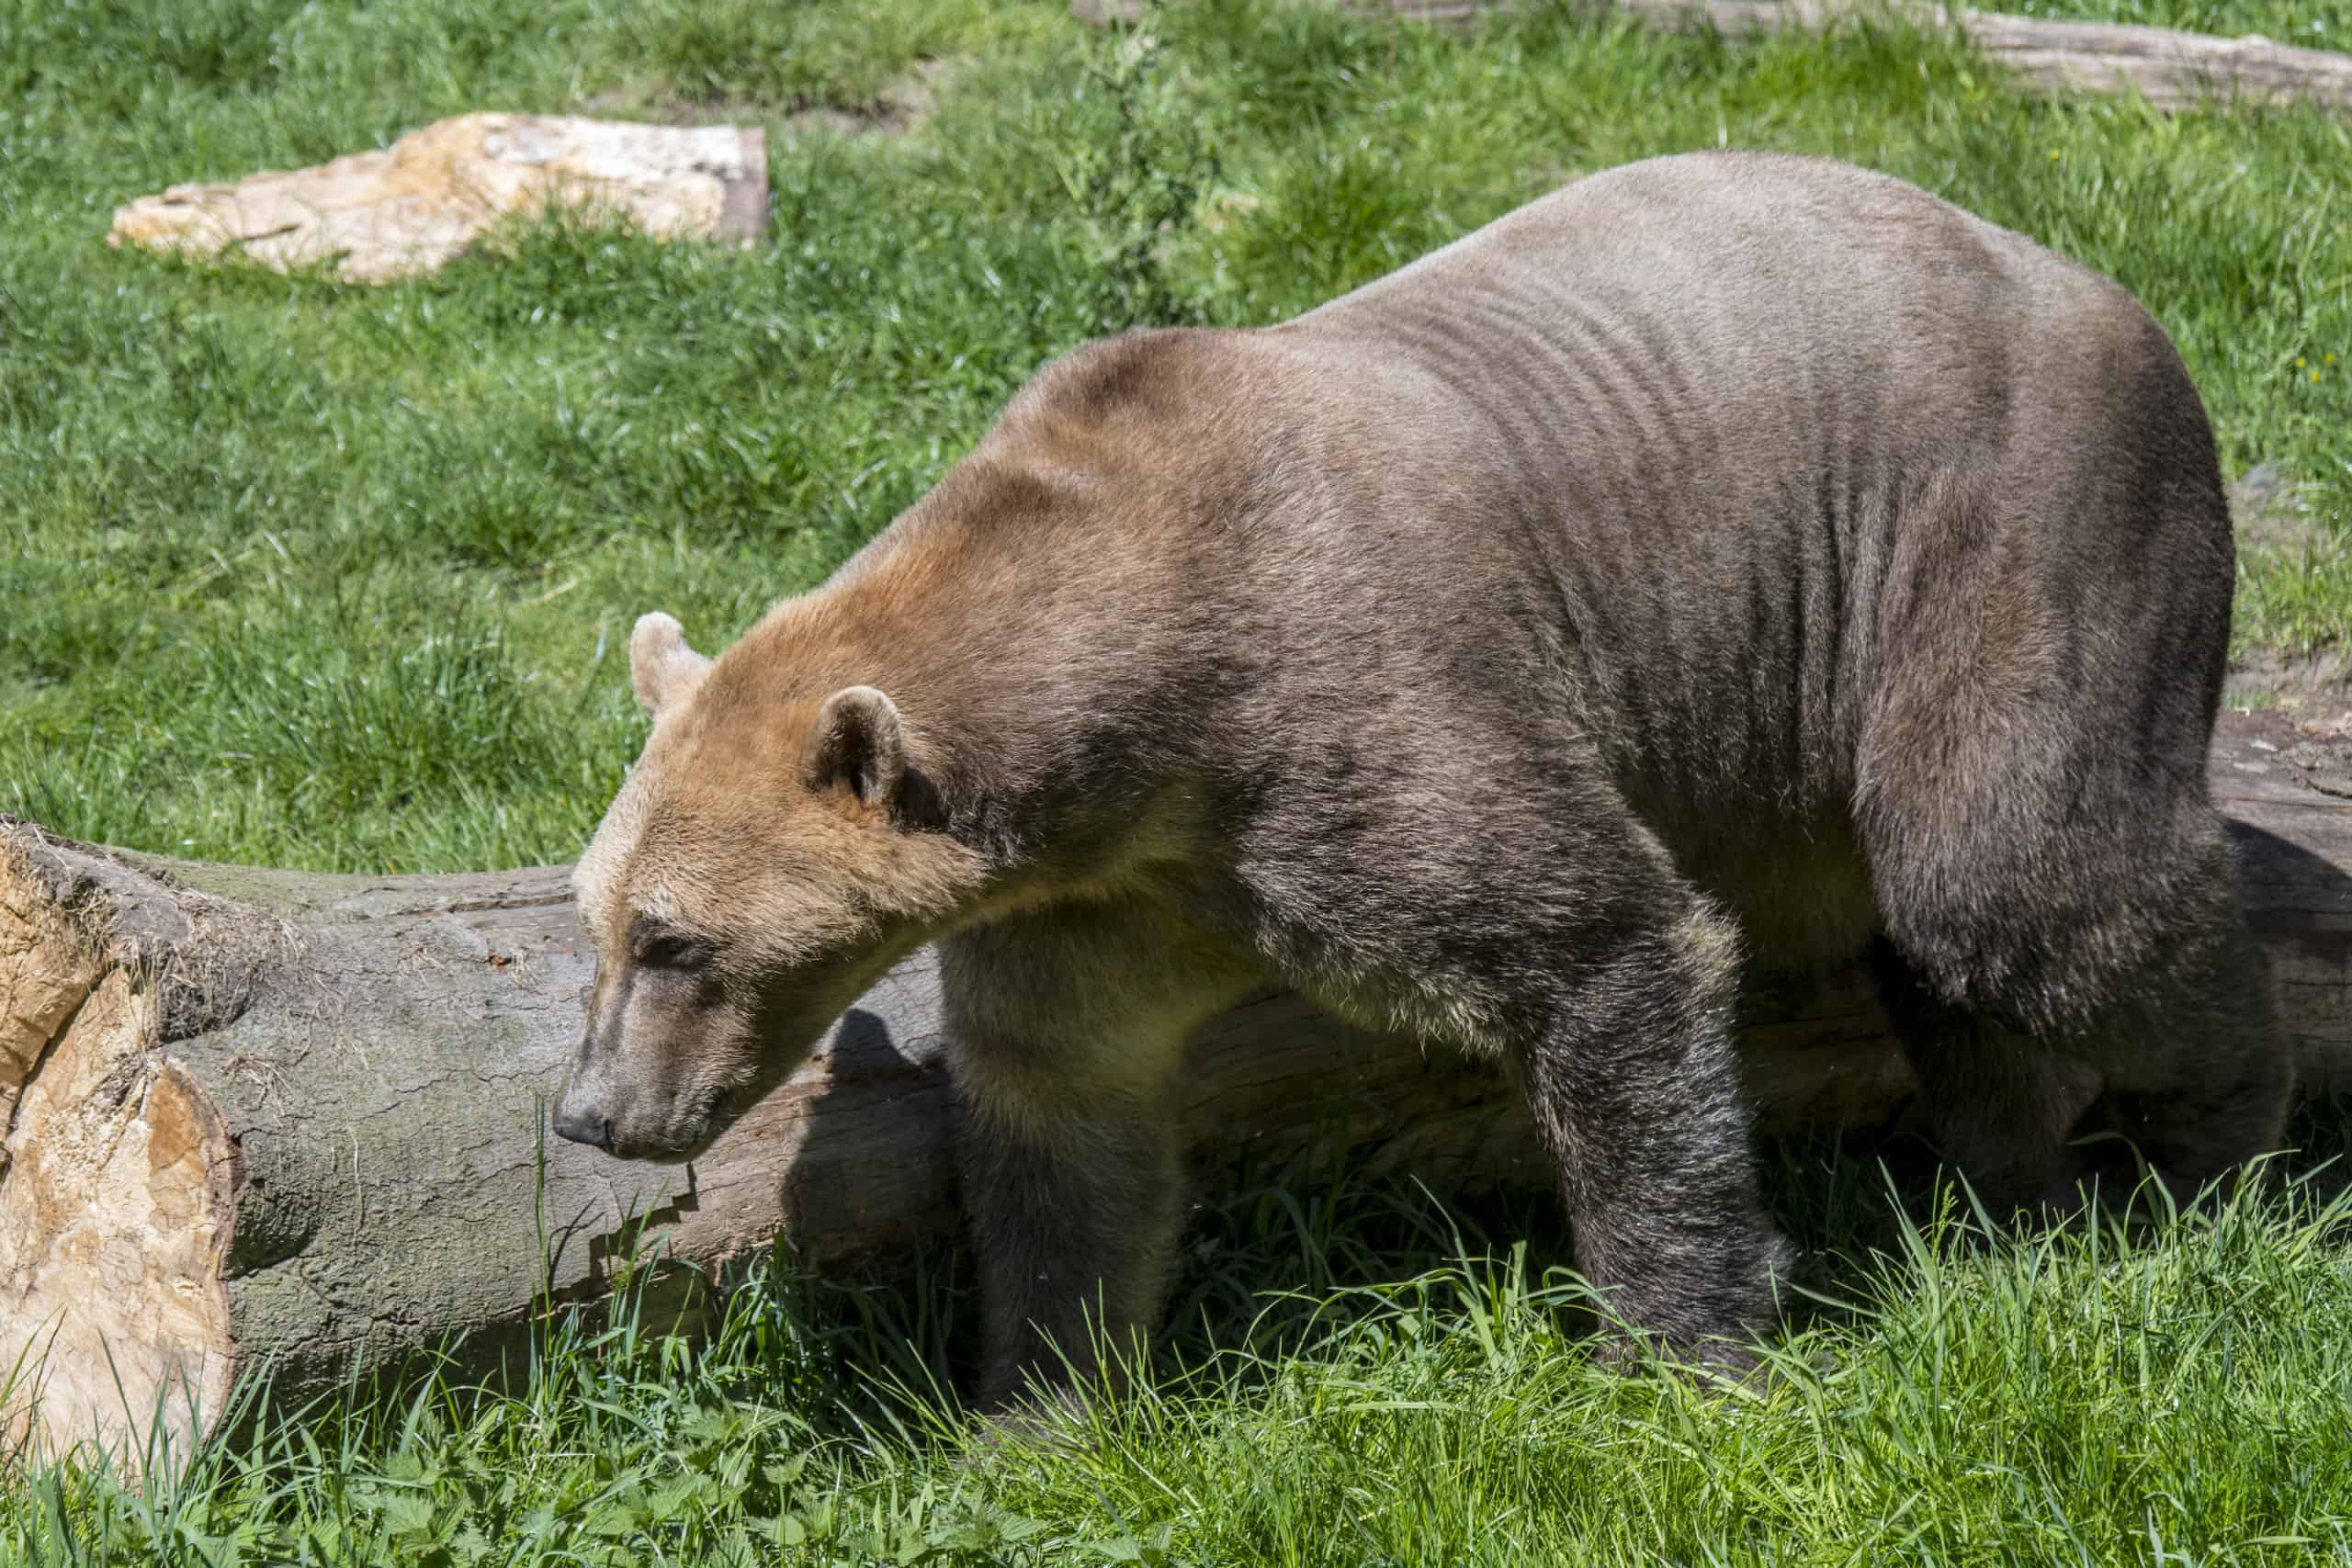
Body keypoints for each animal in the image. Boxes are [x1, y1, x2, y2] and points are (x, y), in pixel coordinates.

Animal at [560, 146, 2286, 1401]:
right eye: (599, 920)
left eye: (677, 938)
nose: (590, 1112)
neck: (1139, 715)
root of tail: (2099, 283)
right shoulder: (1103, 893)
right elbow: (1066, 1117)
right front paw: (1038, 1400)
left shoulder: (1356, 718)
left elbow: (1603, 948)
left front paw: (1690, 1352)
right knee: (1956, 958)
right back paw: (2014, 1175)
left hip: (2007, 527)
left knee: (2021, 884)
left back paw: (2224, 1139)